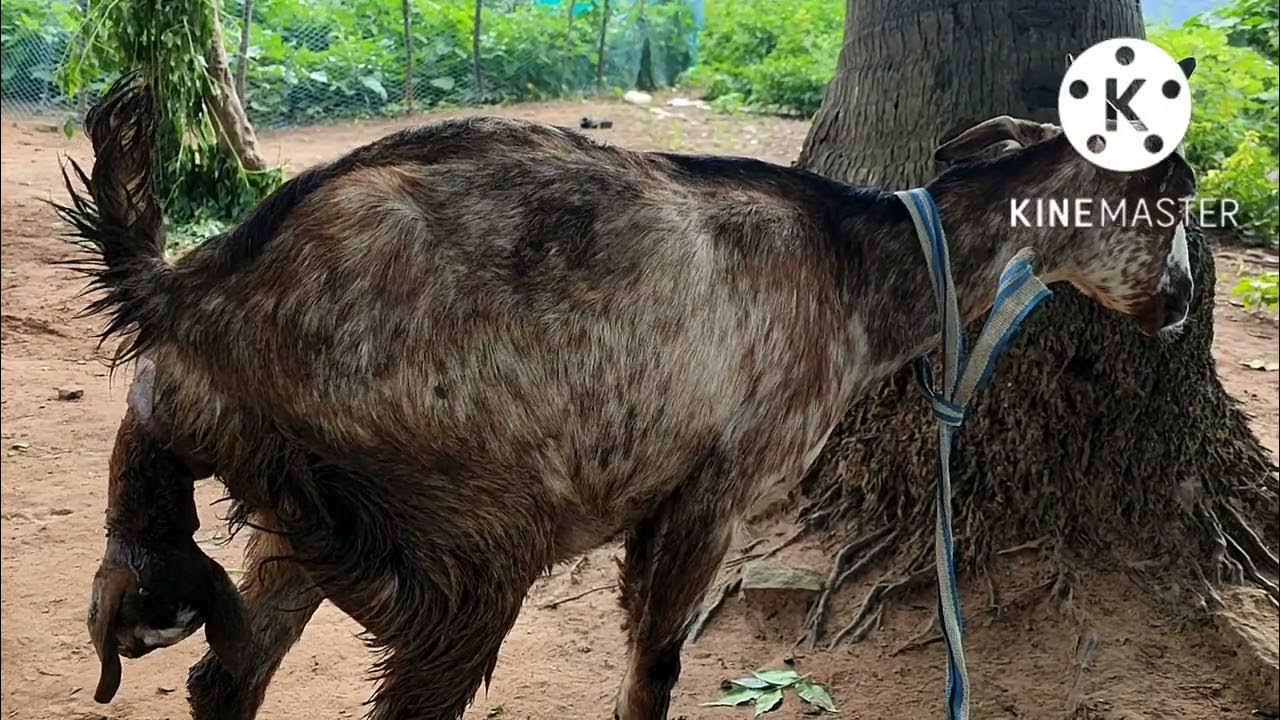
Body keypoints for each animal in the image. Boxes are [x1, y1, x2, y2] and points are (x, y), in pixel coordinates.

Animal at [64, 72, 1196, 720]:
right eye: (1172, 201)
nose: (1183, 303)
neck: (859, 265)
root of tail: (196, 292)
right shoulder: (709, 498)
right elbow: (652, 675)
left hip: (276, 507)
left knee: (223, 675)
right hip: (466, 548)